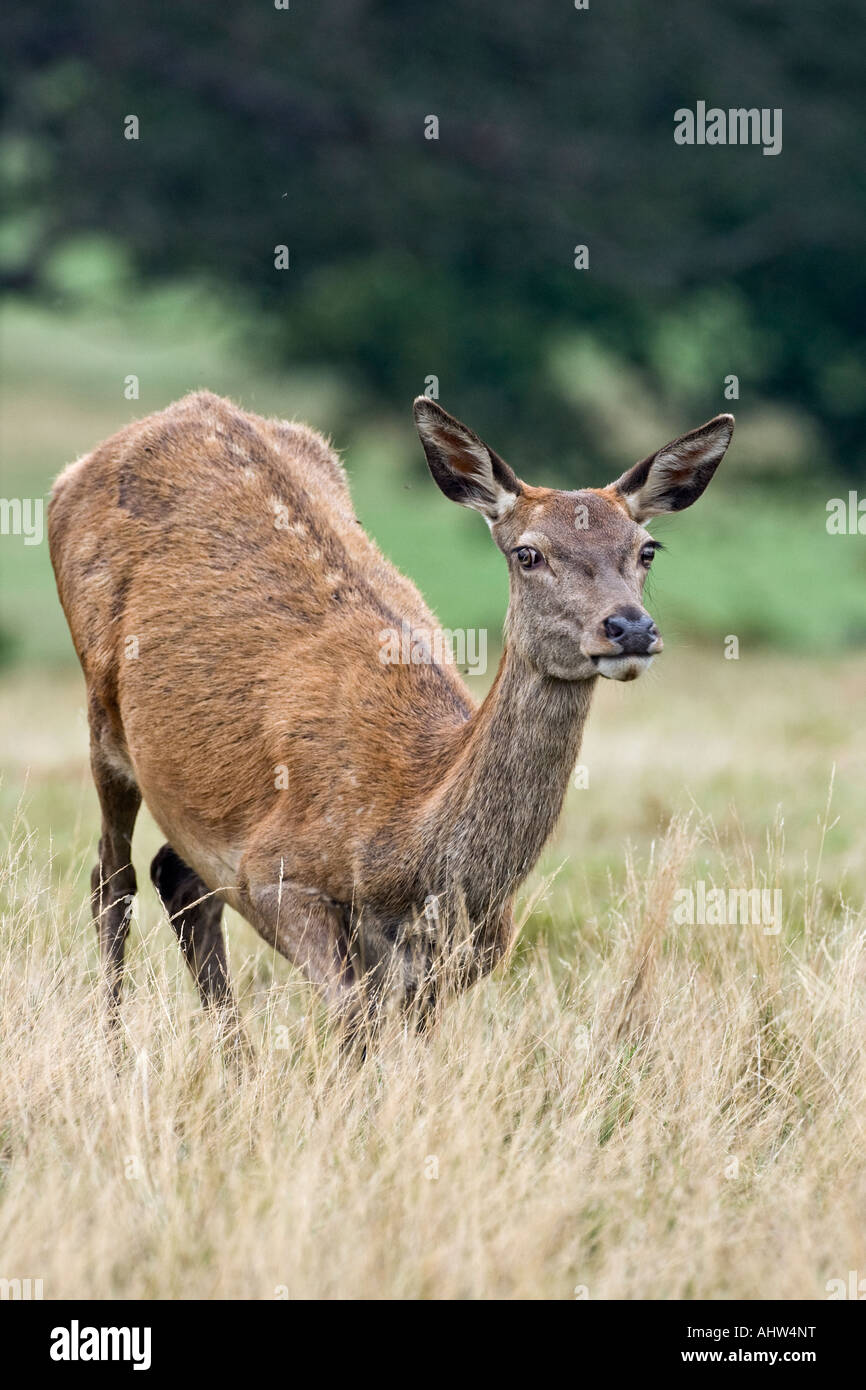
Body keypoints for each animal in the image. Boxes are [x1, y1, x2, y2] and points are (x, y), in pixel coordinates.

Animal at [48, 392, 734, 1044]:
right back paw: (114, 1051)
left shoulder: (467, 952)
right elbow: (355, 1020)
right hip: (103, 719)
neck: (404, 842)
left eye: (647, 549)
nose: (630, 627)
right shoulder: (273, 871)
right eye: (528, 553)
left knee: (178, 881)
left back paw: (235, 1062)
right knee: (112, 880)